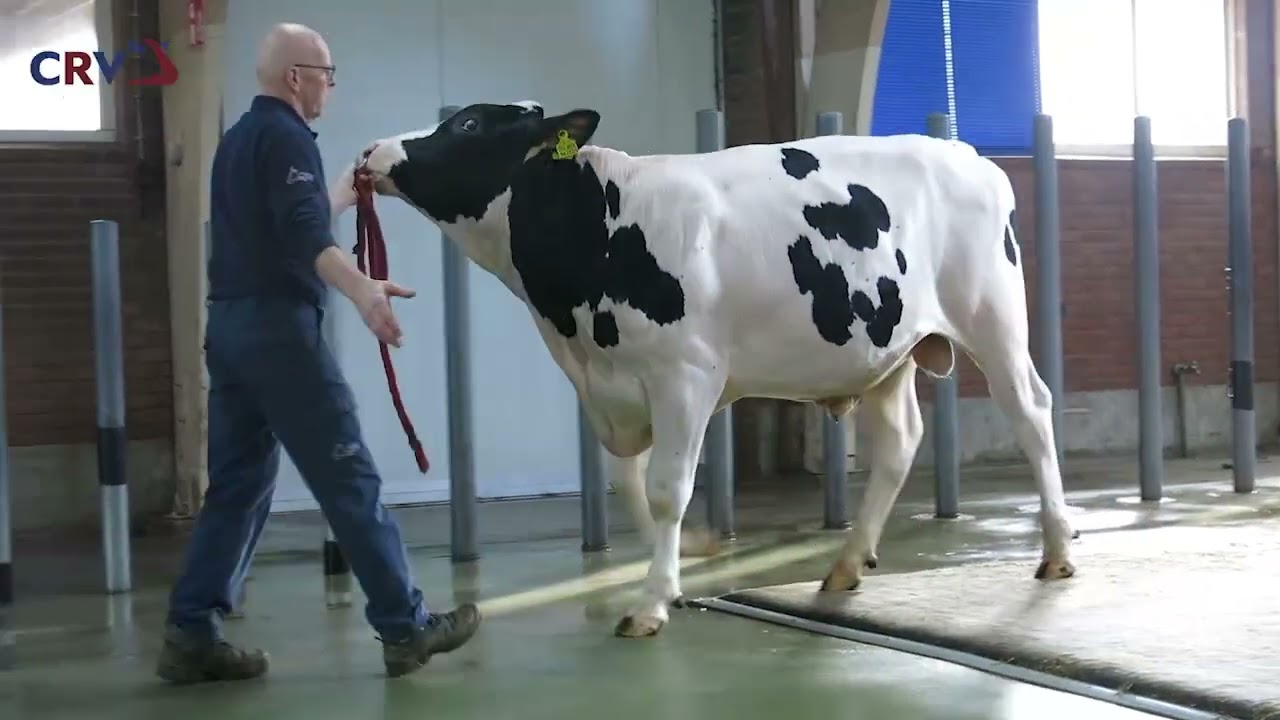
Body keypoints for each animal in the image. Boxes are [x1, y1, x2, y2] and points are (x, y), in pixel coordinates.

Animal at [327, 101, 1077, 639]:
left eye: (469, 123)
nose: (371, 153)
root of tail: (965, 154)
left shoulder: (684, 375)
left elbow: (666, 490)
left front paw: (653, 602)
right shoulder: (614, 388)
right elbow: (631, 488)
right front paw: (688, 558)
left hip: (993, 320)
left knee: (1031, 412)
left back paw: (1056, 549)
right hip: (884, 352)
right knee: (899, 443)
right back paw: (844, 565)